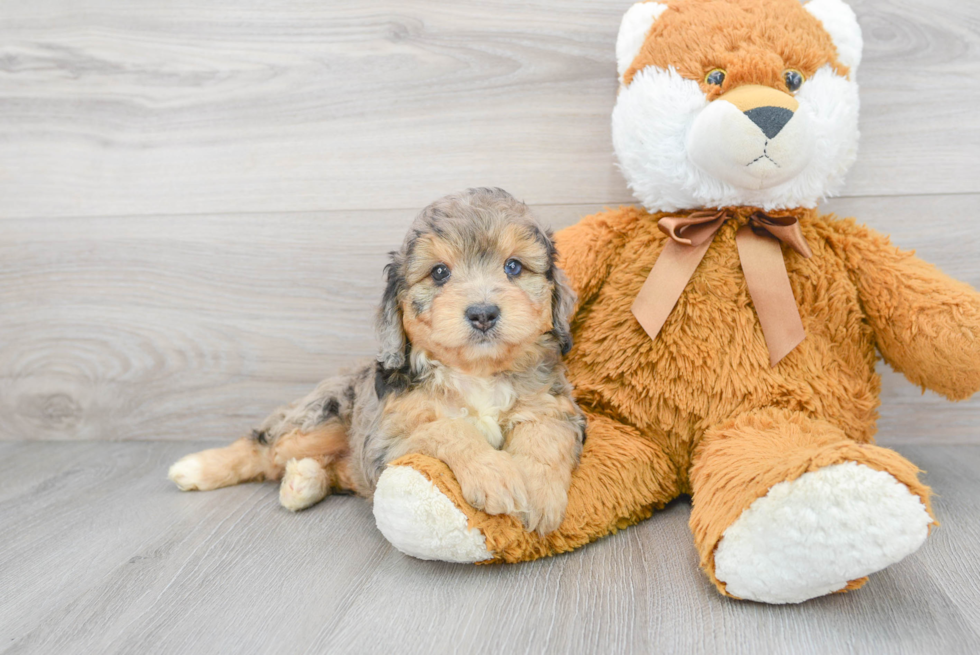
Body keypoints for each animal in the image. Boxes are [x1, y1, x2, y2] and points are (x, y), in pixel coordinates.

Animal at [167, 187, 580, 536]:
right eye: (440, 272)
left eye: (513, 267)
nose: (482, 313)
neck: (475, 373)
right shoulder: (386, 440)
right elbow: (447, 429)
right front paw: (494, 473)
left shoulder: (553, 405)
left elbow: (546, 437)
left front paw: (539, 492)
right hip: (322, 415)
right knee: (265, 447)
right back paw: (196, 468)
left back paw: (303, 482)